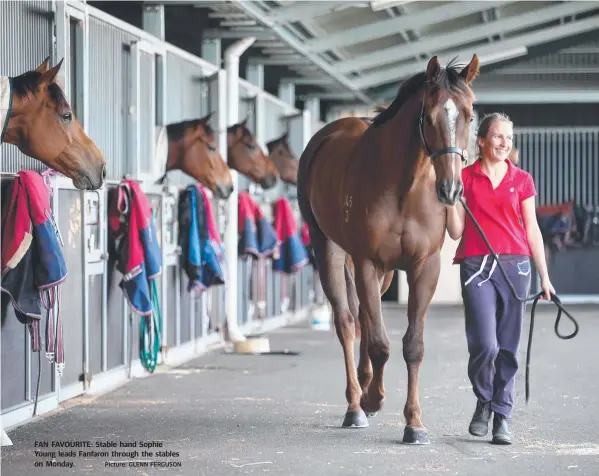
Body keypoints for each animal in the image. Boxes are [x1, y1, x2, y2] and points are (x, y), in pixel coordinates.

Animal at [298, 56, 480, 446]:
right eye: (429, 115)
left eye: (470, 114)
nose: (451, 189)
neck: (404, 188)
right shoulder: (366, 261)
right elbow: (381, 342)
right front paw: (374, 400)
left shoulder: (424, 266)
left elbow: (412, 345)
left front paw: (414, 424)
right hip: (331, 250)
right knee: (348, 322)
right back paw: (356, 404)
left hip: (383, 274)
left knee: (364, 321)